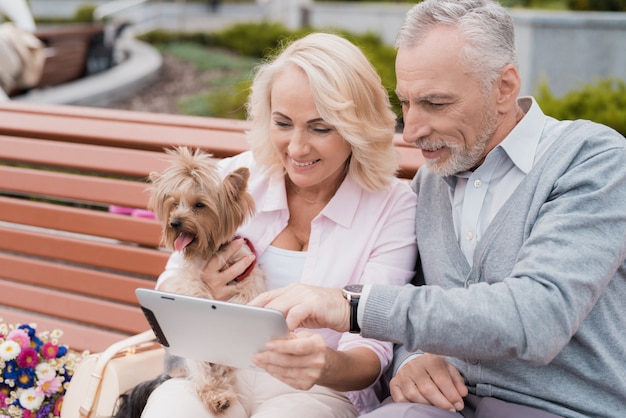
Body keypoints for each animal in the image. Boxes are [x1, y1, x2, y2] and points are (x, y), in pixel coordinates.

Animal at [147, 145, 264, 414]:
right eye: (173, 204)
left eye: (199, 205)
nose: (174, 222)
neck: (210, 251)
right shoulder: (189, 279)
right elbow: (193, 290)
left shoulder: (248, 268)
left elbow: (249, 292)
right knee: (202, 374)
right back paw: (217, 398)